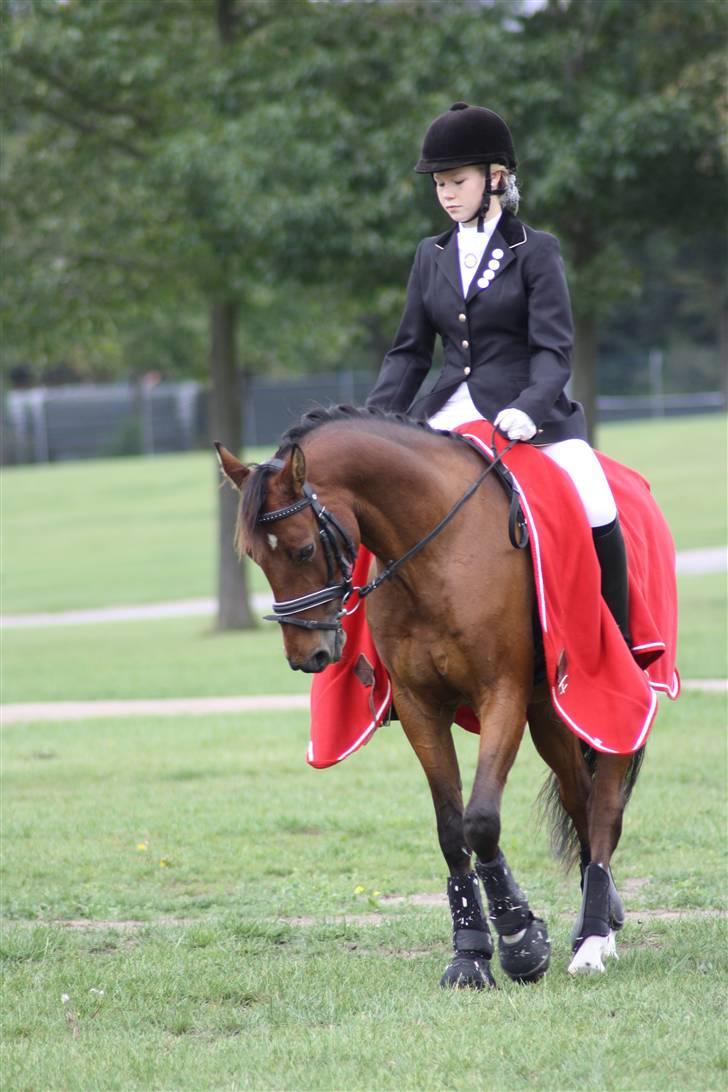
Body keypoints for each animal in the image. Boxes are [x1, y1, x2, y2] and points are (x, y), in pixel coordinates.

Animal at [216, 405, 644, 987]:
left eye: (304, 548)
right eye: (257, 558)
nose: (309, 654)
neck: (437, 553)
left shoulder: (501, 693)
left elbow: (481, 819)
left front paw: (520, 940)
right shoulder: (423, 707)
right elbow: (450, 829)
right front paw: (470, 954)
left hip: (601, 697)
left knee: (605, 803)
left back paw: (594, 941)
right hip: (547, 712)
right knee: (578, 794)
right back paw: (599, 917)